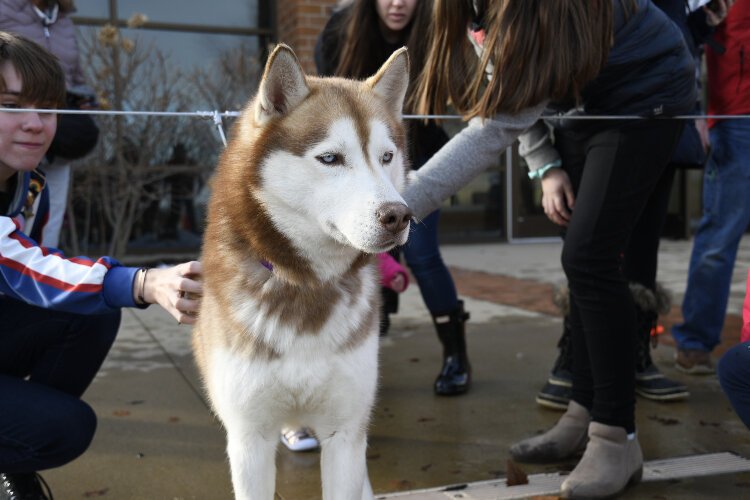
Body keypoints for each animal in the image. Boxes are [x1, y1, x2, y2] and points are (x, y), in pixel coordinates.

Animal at [192, 44, 412, 500]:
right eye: (330, 158)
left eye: (387, 157)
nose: (399, 215)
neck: (306, 286)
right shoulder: (249, 438)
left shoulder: (345, 433)